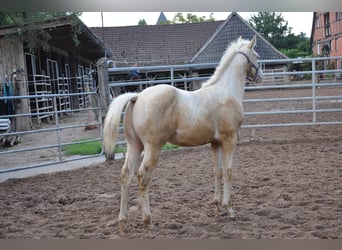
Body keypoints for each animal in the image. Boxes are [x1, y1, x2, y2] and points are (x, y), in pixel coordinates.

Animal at [103, 35, 264, 234]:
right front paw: (229, 209)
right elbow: (228, 171)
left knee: (126, 175)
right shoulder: (229, 139)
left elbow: (217, 171)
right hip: (153, 147)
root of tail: (137, 96)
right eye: (257, 55)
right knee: (142, 176)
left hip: (135, 146)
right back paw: (148, 221)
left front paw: (218, 206)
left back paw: (123, 223)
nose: (260, 77)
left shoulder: (215, 143)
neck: (226, 91)